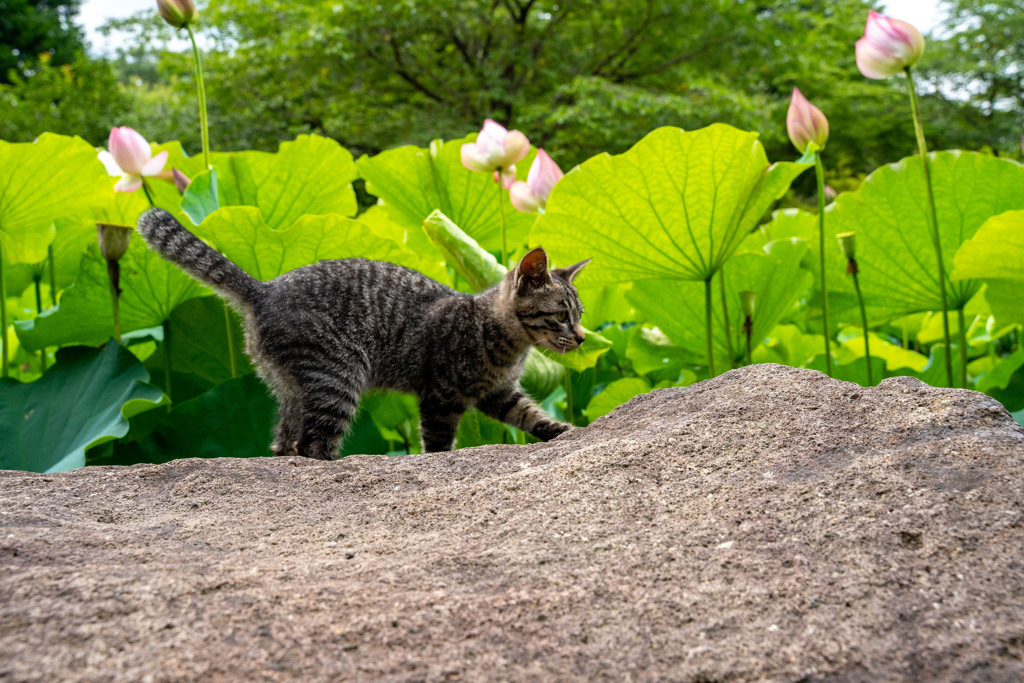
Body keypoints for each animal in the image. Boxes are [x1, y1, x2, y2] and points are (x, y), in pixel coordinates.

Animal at [136, 208, 589, 458]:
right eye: (561, 316)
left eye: (581, 314)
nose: (584, 337)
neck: (506, 343)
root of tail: (264, 288)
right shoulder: (440, 396)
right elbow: (438, 444)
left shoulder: (499, 393)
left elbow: (529, 414)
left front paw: (562, 429)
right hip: (338, 374)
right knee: (314, 444)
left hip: (292, 387)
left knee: (285, 444)